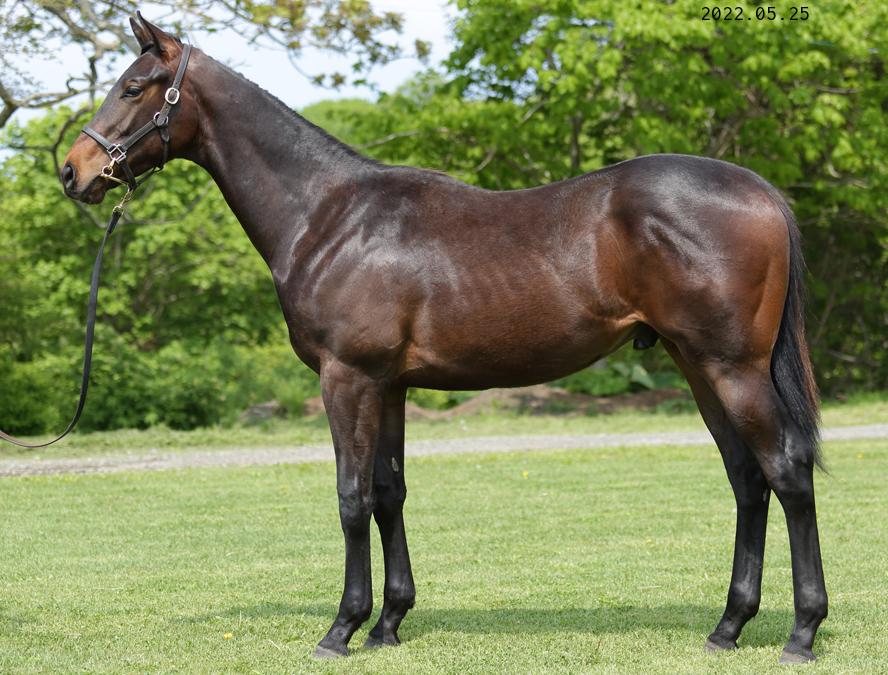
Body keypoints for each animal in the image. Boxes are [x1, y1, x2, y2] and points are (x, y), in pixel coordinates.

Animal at [60, 13, 827, 664]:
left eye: (134, 86)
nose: (73, 171)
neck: (329, 215)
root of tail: (762, 191)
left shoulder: (347, 377)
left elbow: (351, 496)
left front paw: (342, 628)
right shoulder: (390, 385)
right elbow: (389, 492)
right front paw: (390, 623)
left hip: (732, 367)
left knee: (786, 470)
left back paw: (802, 631)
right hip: (696, 365)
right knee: (747, 478)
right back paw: (728, 626)